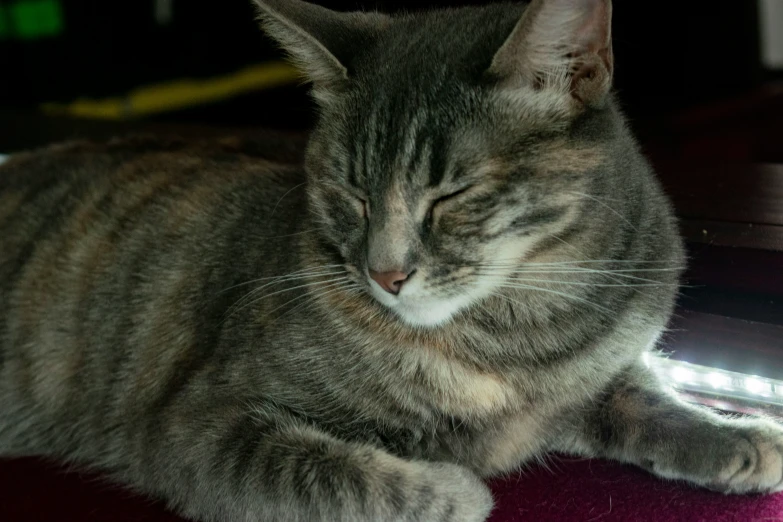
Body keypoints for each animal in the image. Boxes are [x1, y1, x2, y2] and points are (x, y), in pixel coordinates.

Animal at [1, 1, 783, 520]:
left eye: (452, 193)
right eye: (350, 192)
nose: (385, 274)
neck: (517, 336)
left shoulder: (596, 373)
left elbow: (647, 394)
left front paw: (736, 435)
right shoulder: (202, 423)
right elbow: (333, 474)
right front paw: (454, 489)